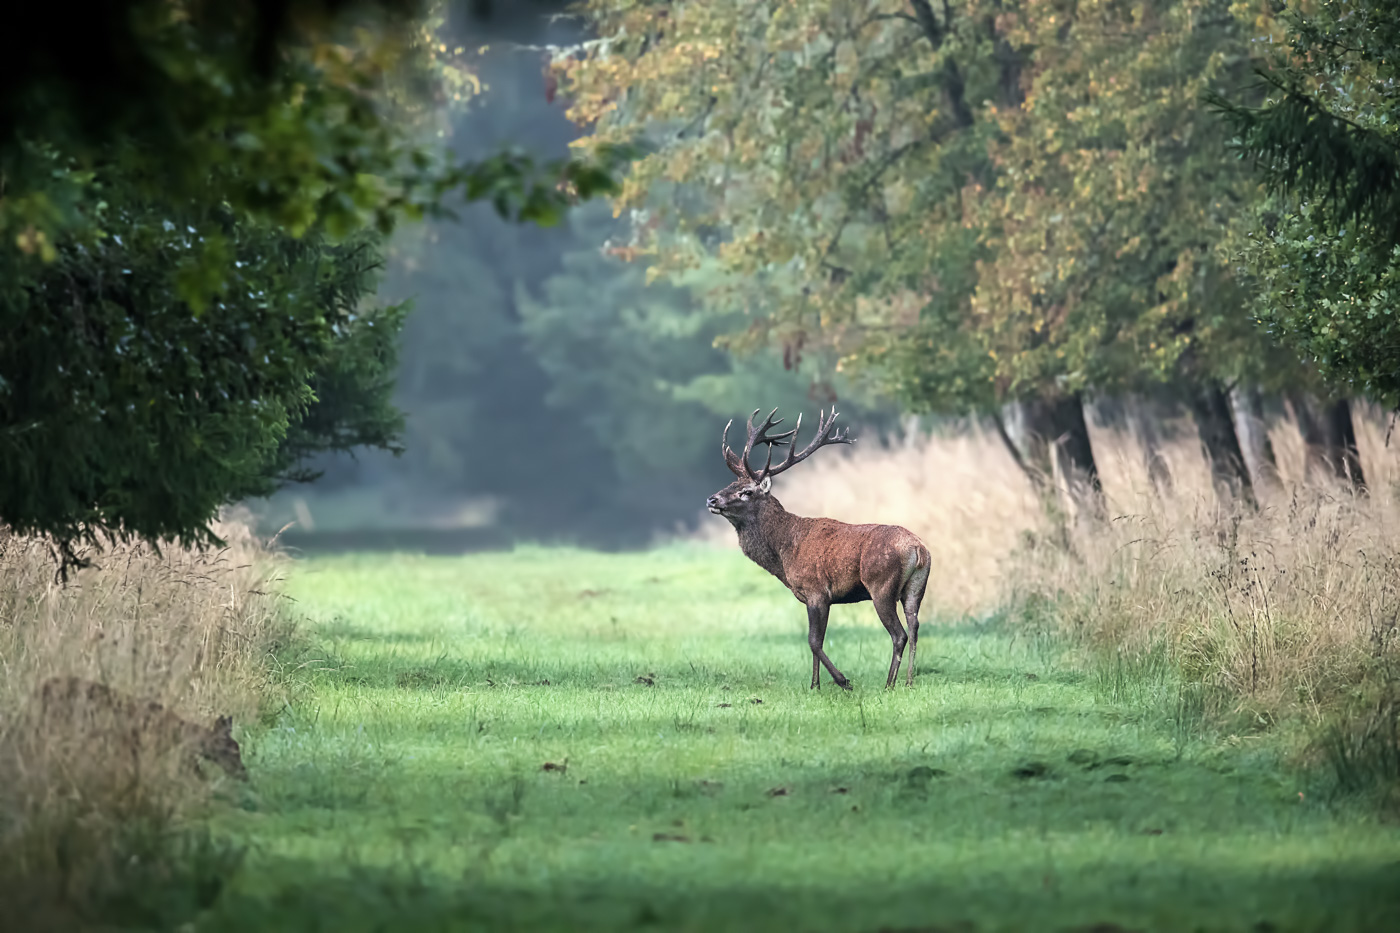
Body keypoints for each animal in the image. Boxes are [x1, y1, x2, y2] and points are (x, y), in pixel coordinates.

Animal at [705, 411, 935, 686]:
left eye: (746, 492)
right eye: (731, 483)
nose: (712, 499)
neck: (784, 552)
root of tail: (919, 550)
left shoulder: (817, 591)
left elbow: (813, 641)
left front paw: (842, 681)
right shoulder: (811, 597)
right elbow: (817, 641)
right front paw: (814, 685)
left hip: (881, 585)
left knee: (899, 634)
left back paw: (889, 684)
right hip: (916, 587)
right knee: (914, 626)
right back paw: (908, 681)